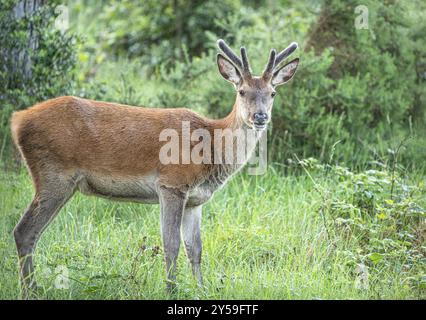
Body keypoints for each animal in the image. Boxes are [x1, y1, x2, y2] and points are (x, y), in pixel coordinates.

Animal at [9, 39, 296, 298]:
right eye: (242, 91)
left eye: (272, 93)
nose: (260, 116)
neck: (211, 145)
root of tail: (17, 120)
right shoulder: (172, 183)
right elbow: (171, 244)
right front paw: (171, 290)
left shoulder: (196, 200)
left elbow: (195, 248)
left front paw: (201, 289)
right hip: (53, 174)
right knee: (25, 231)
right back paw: (30, 291)